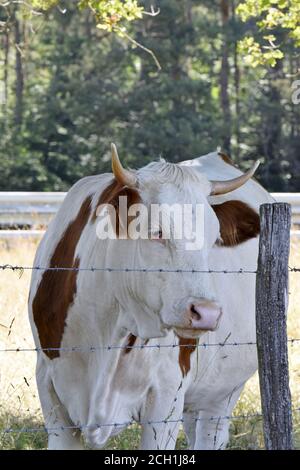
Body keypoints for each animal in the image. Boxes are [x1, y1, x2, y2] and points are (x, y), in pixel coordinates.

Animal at [28, 145, 268, 450]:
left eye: (214, 237)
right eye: (157, 231)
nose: (207, 312)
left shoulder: (166, 399)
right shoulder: (52, 397)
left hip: (225, 391)